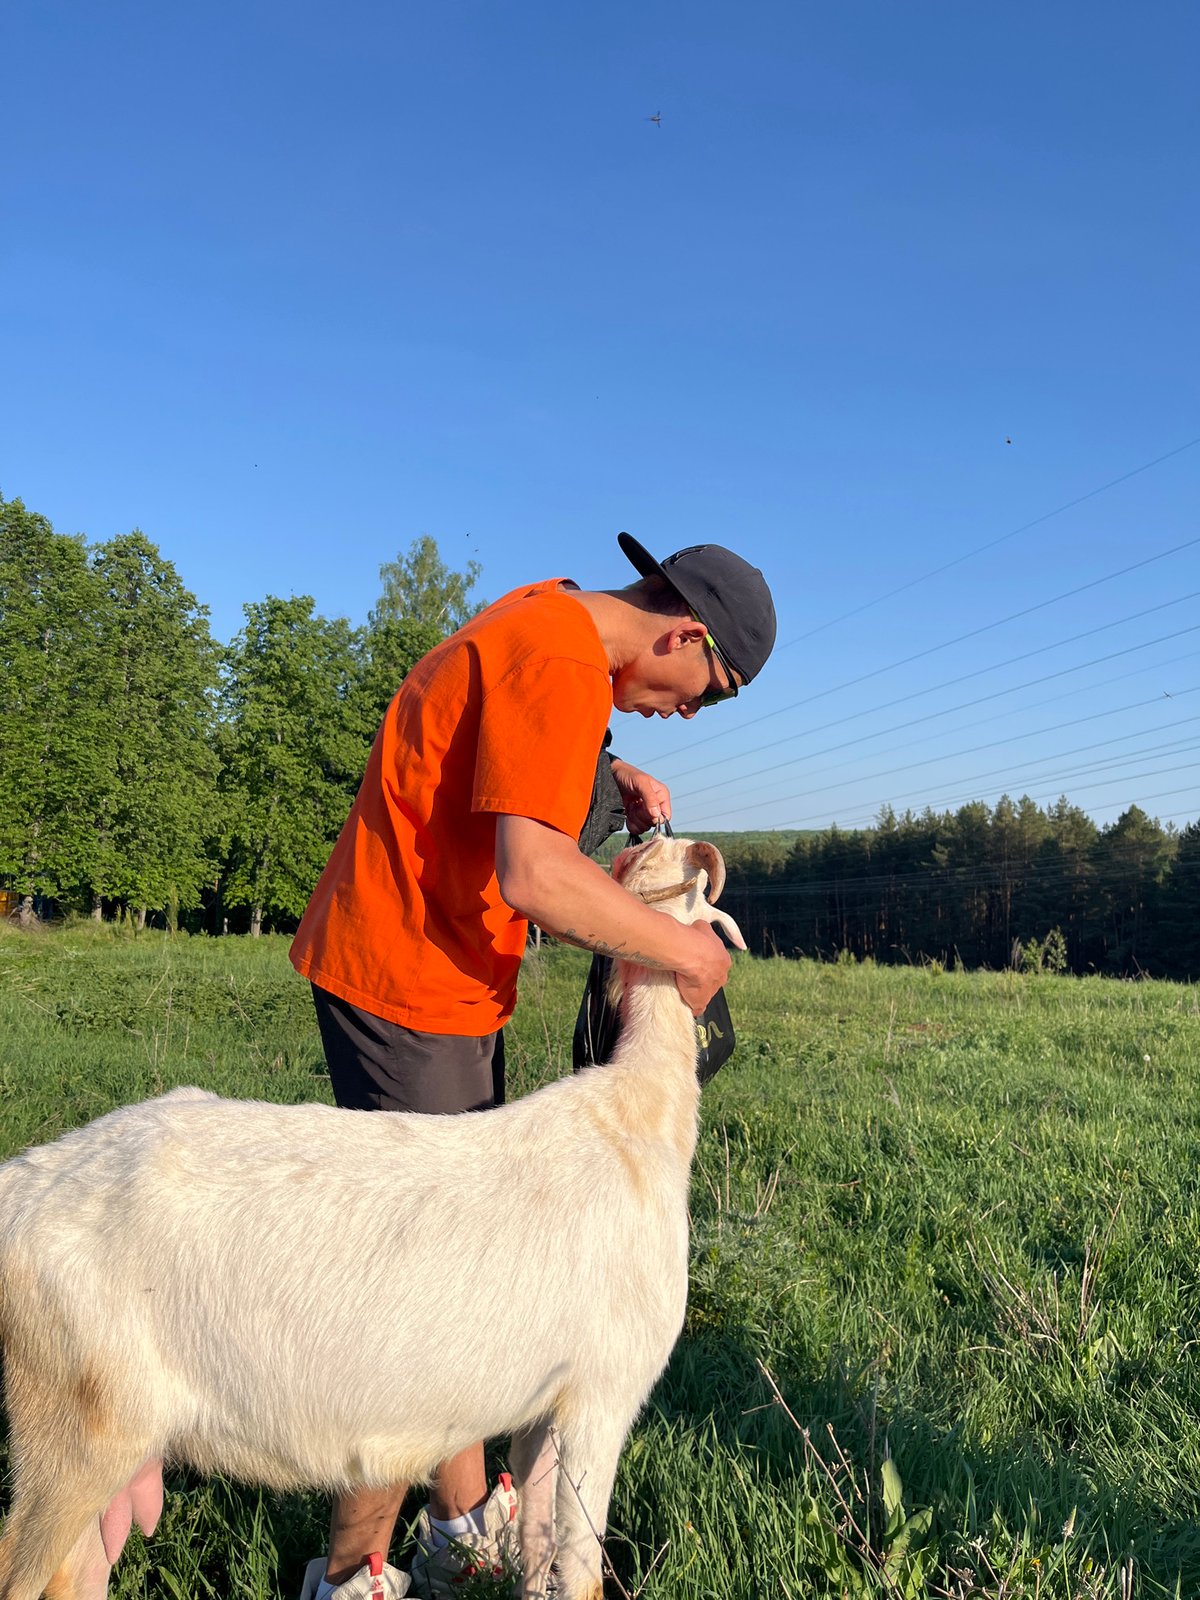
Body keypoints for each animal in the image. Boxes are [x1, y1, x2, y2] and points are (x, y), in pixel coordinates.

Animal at [0, 833, 745, 1600]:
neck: (638, 1114)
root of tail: (18, 1184)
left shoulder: (544, 1405)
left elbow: (542, 1551)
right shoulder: (603, 1390)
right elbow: (581, 1564)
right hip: (76, 1421)